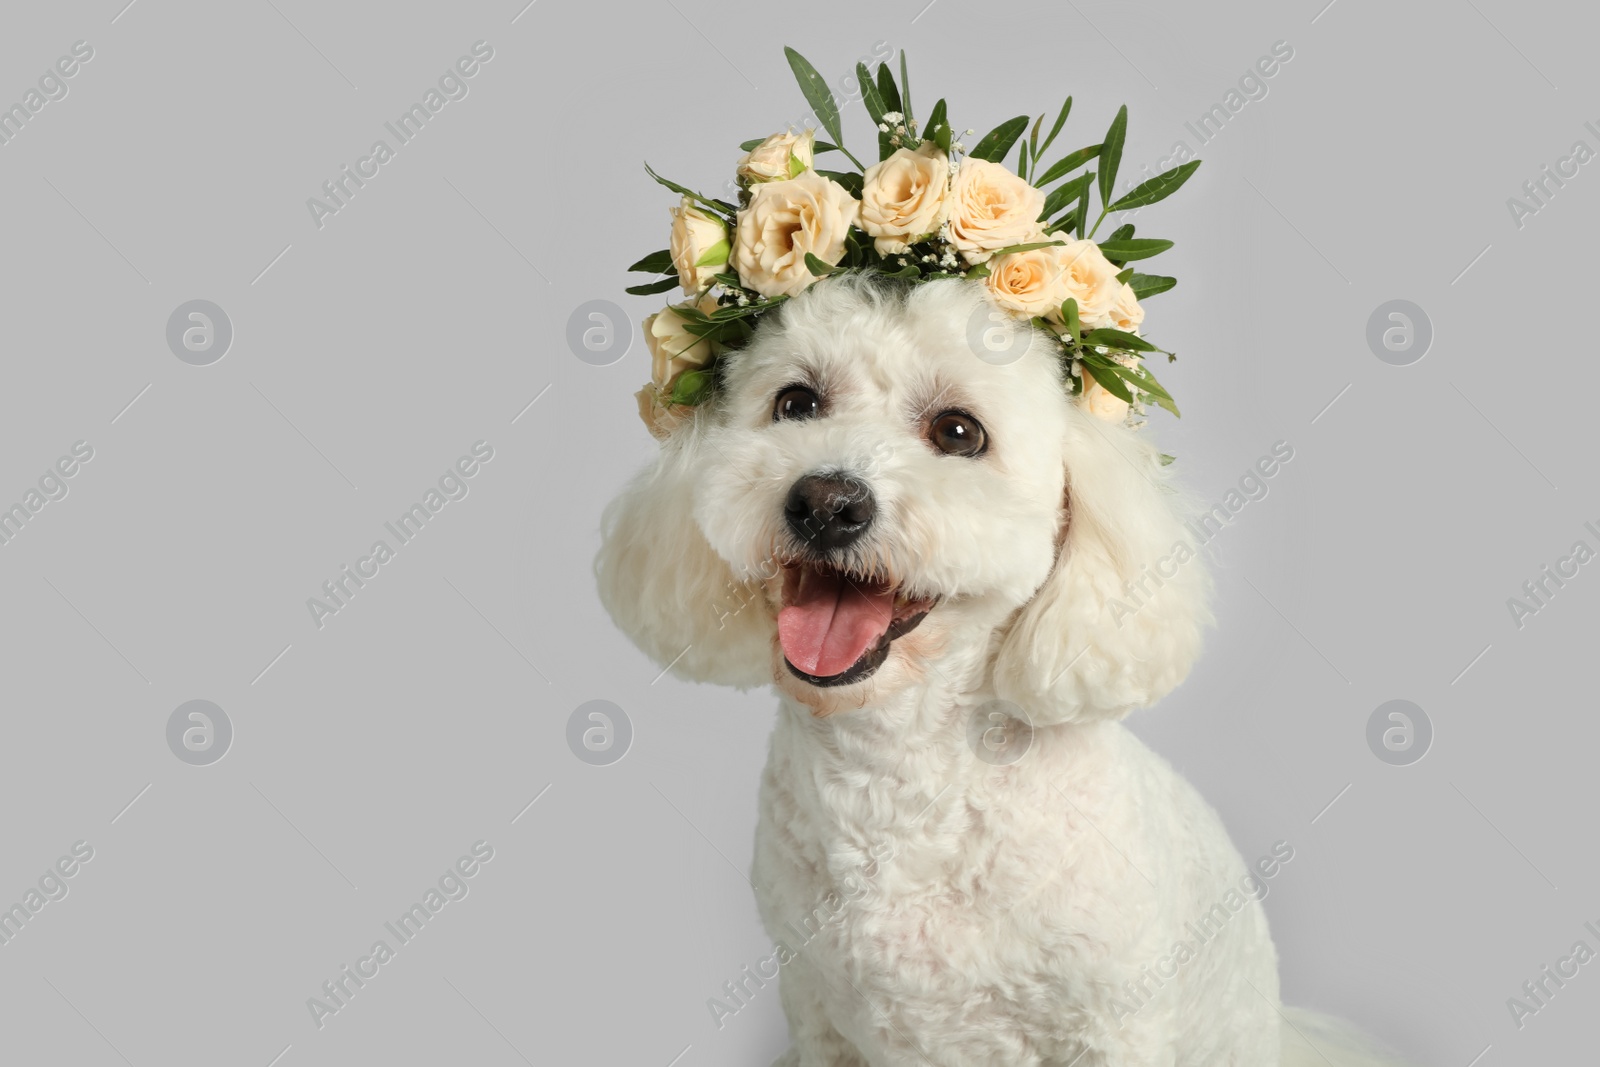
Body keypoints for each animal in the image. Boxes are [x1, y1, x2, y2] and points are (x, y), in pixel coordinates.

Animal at [598, 275, 1401, 1067]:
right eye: (795, 403)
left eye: (959, 433)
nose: (826, 503)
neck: (899, 769)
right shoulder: (817, 1017)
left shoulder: (1112, 1025)